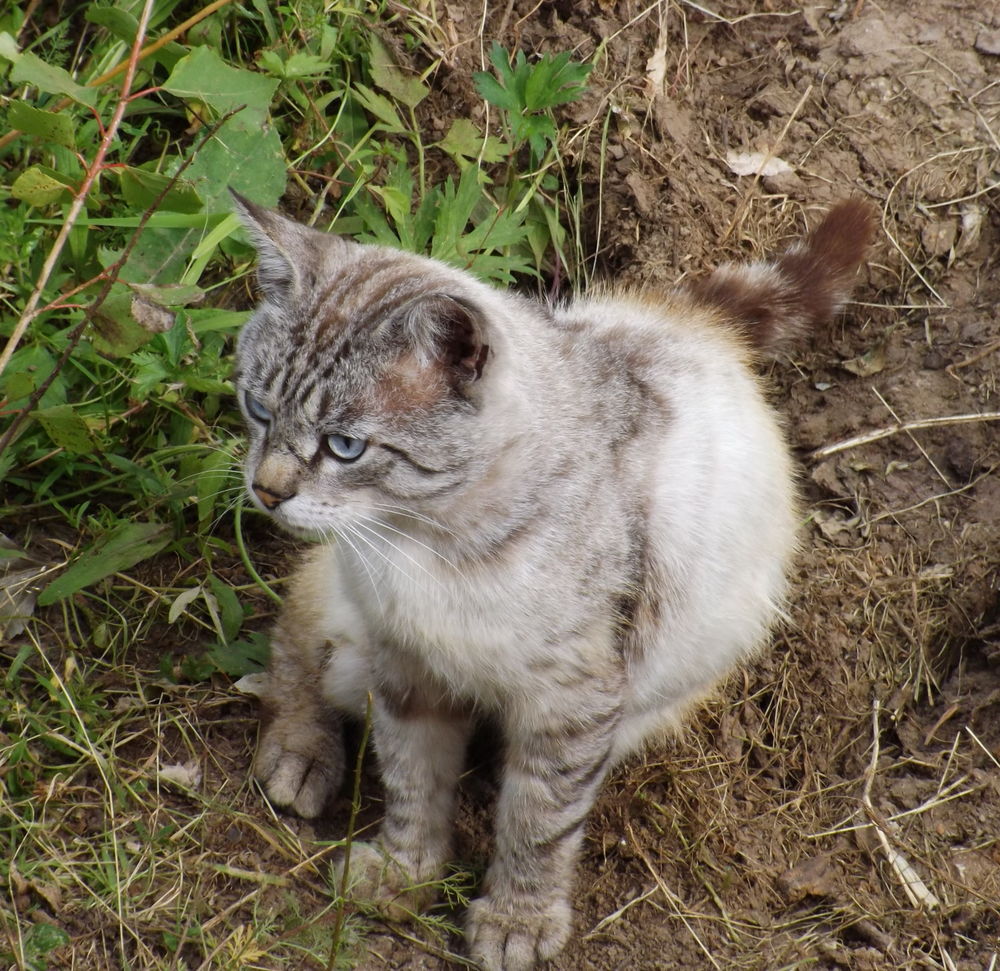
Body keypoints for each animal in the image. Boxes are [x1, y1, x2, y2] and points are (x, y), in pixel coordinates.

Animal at [230, 192, 872, 971]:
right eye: (258, 409)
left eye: (345, 446)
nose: (266, 492)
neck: (431, 542)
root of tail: (687, 322)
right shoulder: (405, 666)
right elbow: (412, 779)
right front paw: (406, 872)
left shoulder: (571, 700)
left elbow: (536, 822)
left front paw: (516, 920)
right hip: (349, 636)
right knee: (297, 638)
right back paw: (298, 752)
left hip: (656, 695)